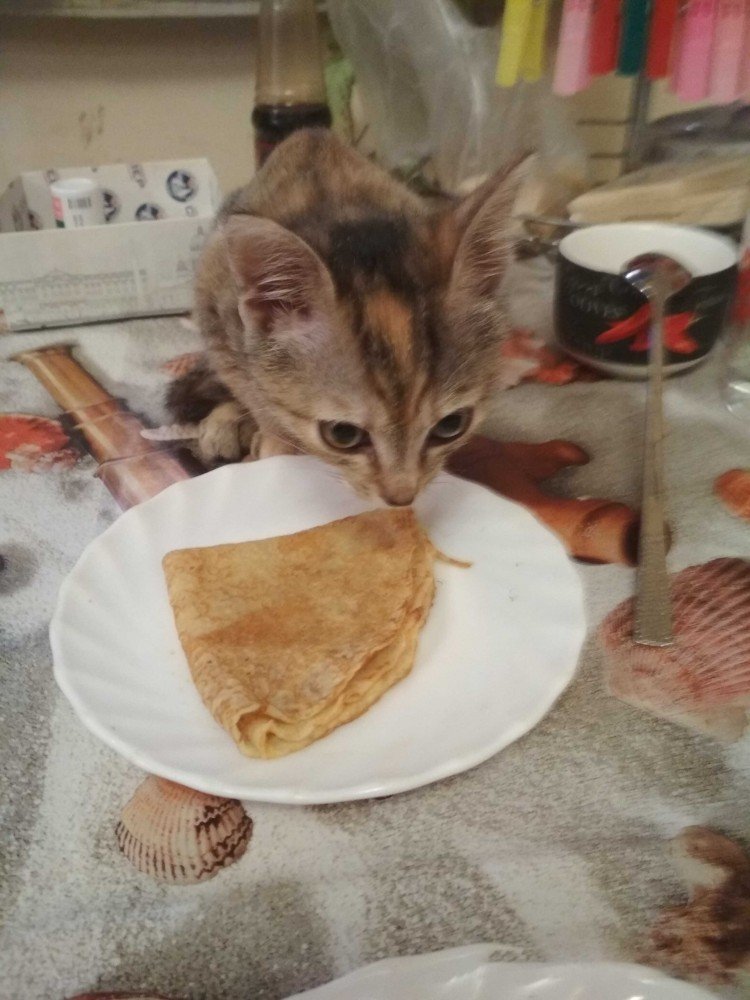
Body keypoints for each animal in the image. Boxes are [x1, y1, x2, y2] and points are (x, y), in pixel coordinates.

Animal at [168, 128, 530, 506]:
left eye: (452, 425)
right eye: (343, 434)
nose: (402, 497)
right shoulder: (217, 316)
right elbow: (256, 395)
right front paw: (274, 441)